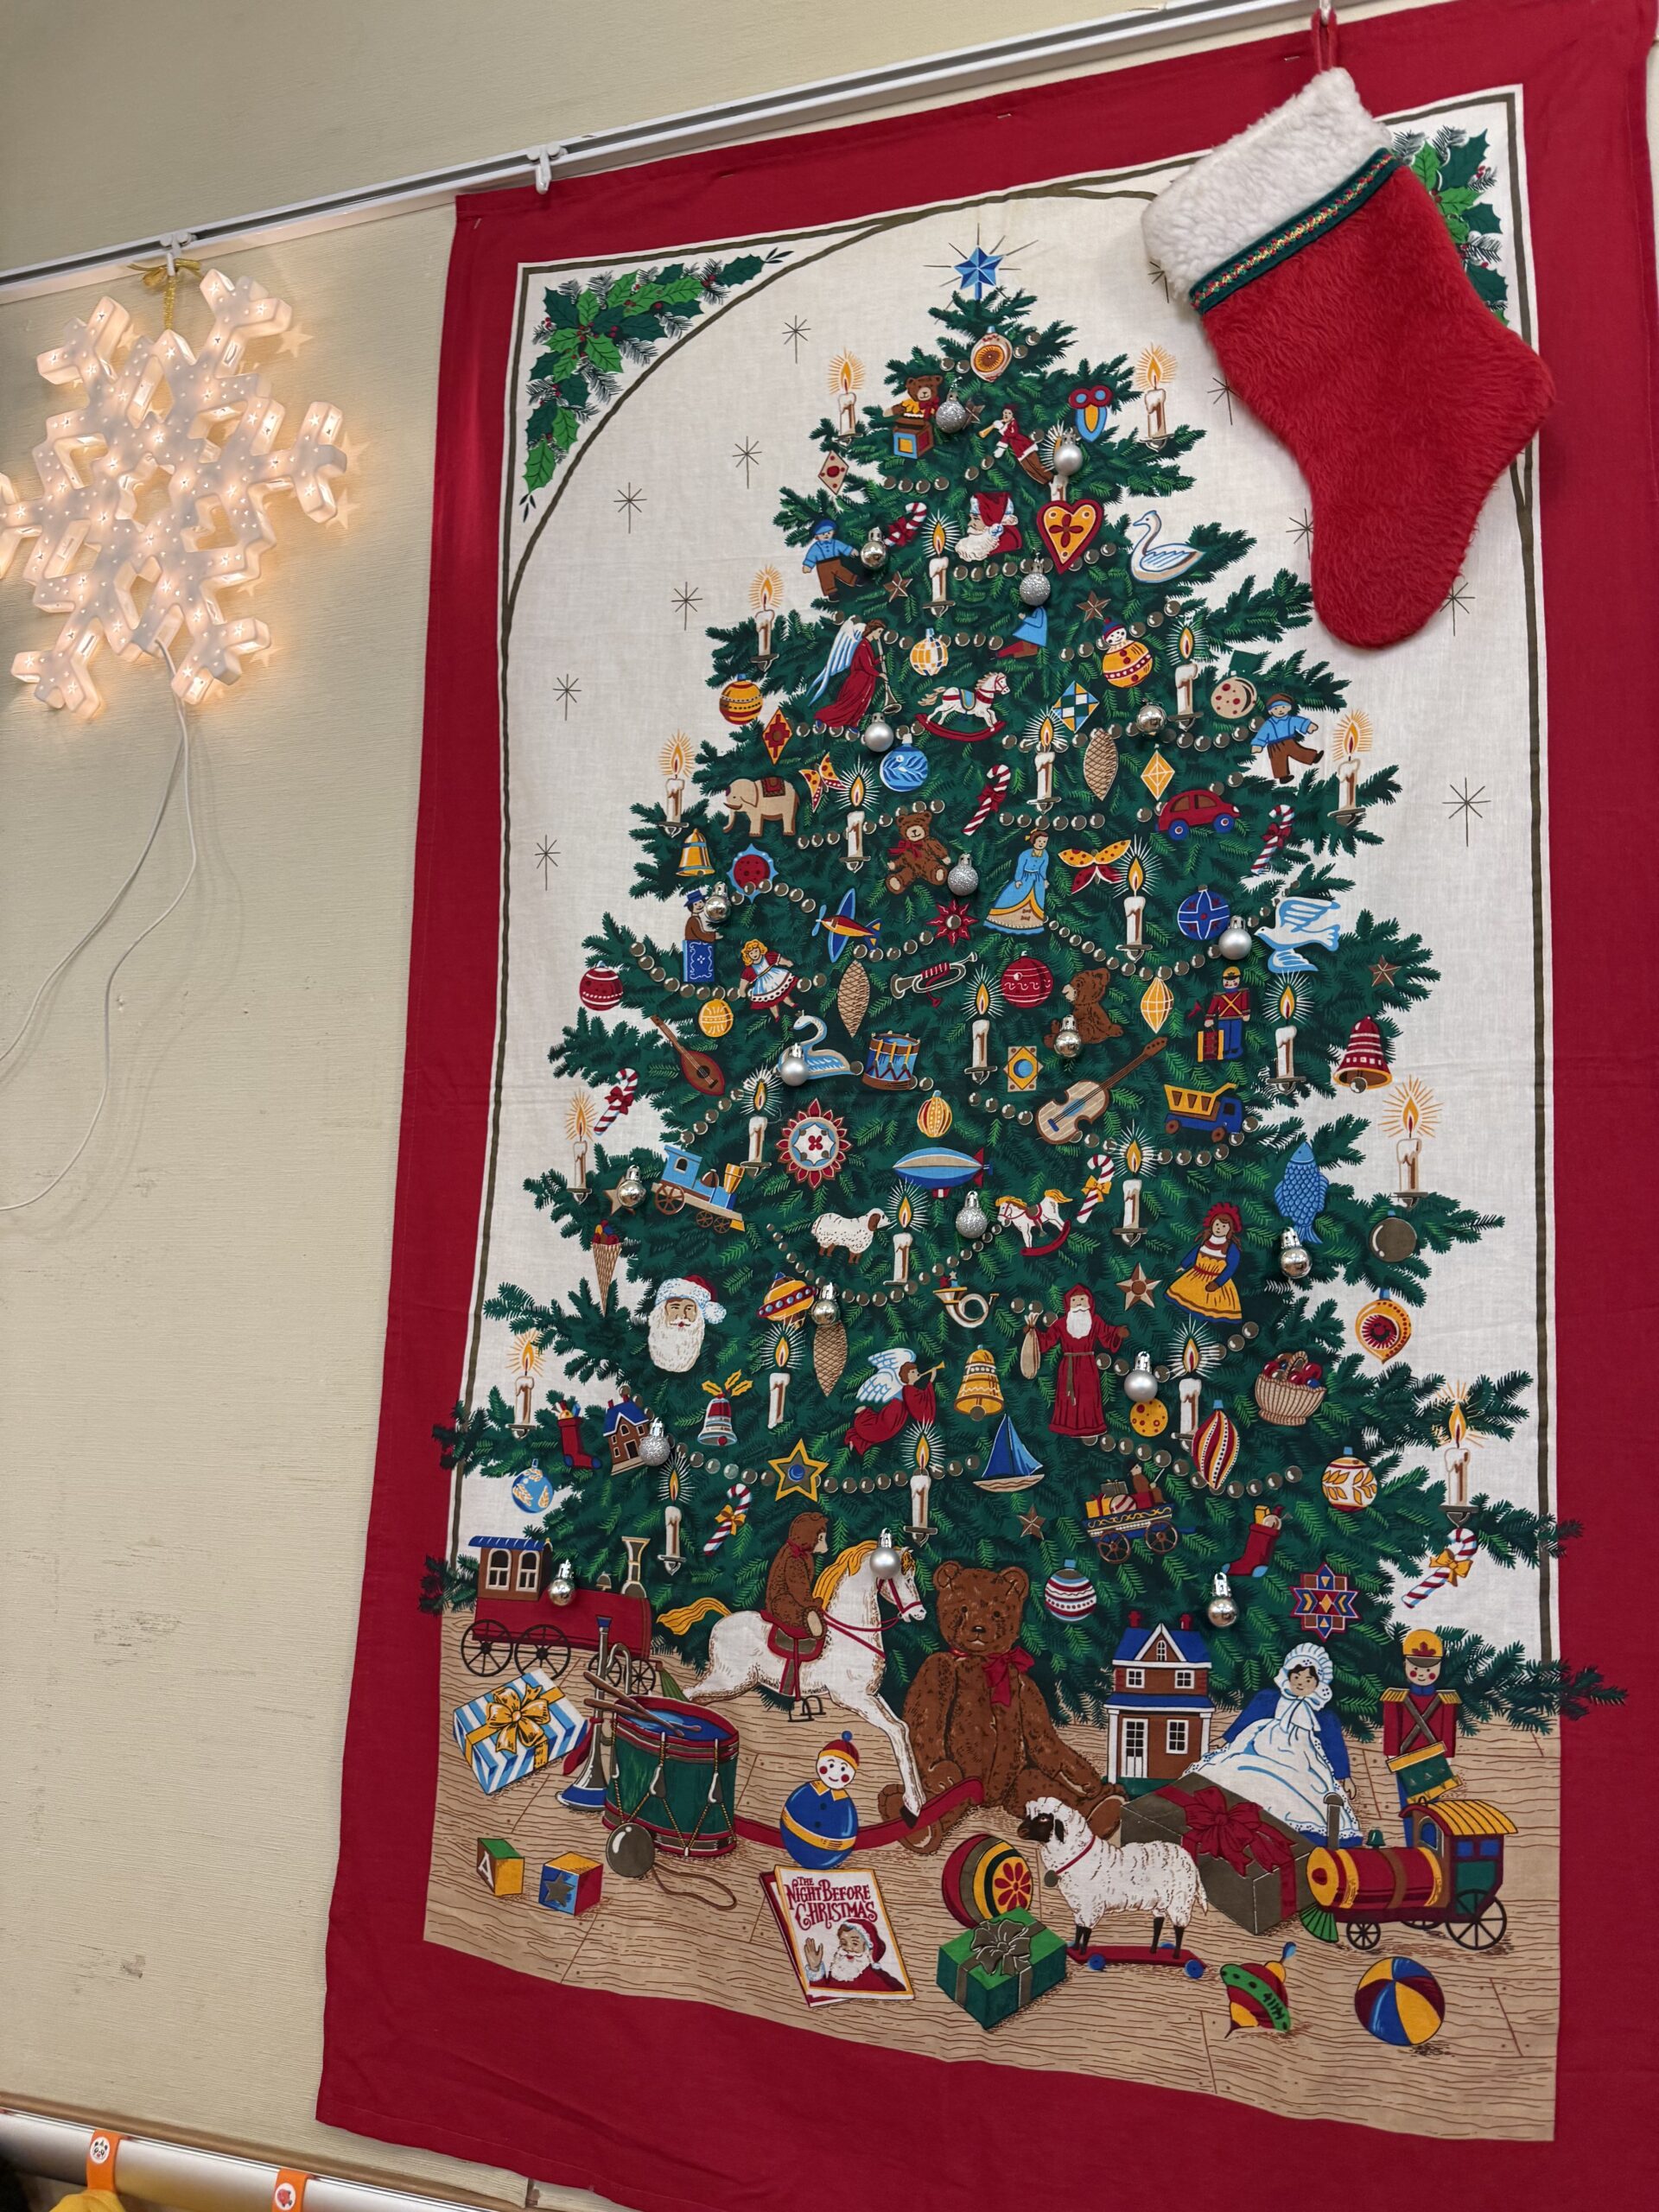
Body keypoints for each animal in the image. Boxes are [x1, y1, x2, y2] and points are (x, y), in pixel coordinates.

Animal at [658, 1539, 929, 1814]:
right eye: (903, 1577)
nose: (920, 1614)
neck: (850, 1635)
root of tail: (724, 1618)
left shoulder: (872, 1695)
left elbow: (902, 1727)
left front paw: (918, 1799)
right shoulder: (852, 1698)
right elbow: (895, 1731)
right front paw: (913, 1802)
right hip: (728, 1680)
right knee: (688, 1694)